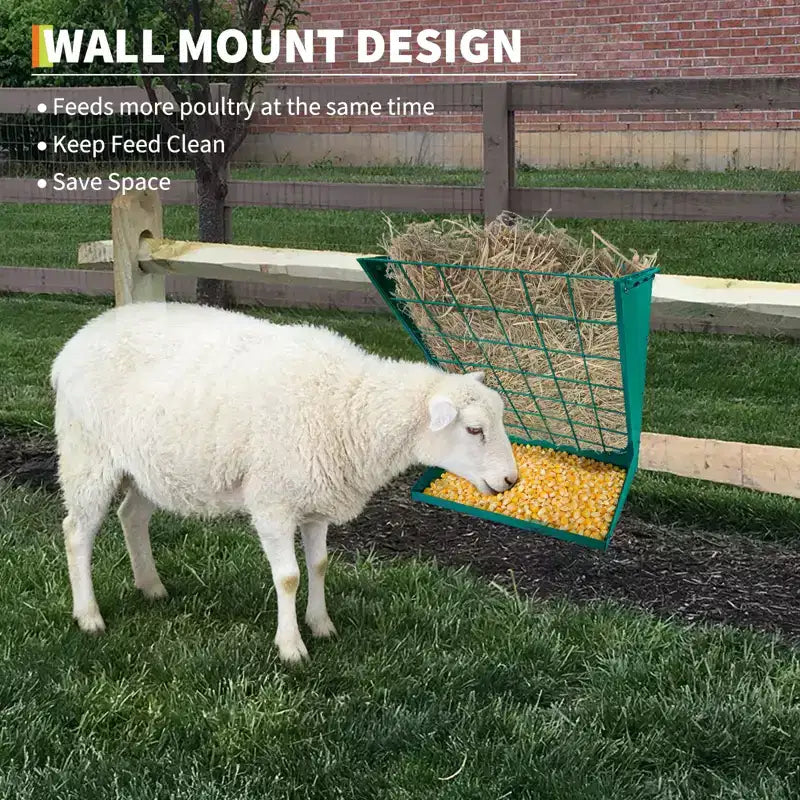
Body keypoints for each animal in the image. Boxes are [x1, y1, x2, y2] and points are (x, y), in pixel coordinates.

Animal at [51, 301, 518, 662]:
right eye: (474, 429)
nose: (511, 479)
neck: (349, 408)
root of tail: (77, 341)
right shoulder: (273, 500)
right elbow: (289, 577)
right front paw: (291, 646)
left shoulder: (316, 499)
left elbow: (320, 564)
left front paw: (322, 624)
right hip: (87, 454)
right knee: (77, 532)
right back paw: (89, 615)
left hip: (147, 465)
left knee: (132, 515)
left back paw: (151, 588)